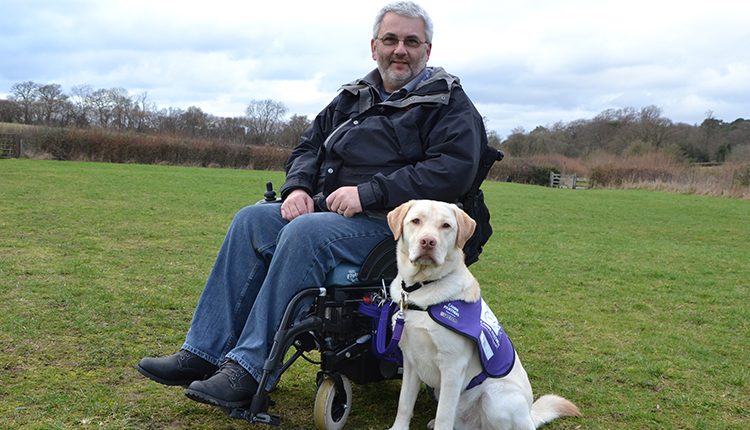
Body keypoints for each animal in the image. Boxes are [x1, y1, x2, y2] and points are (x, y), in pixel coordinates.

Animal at [388, 201, 580, 430]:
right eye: (415, 221)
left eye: (446, 226)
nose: (428, 241)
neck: (421, 291)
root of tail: (530, 415)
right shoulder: (410, 361)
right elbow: (404, 404)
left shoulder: (452, 367)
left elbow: (444, 414)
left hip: (496, 398)